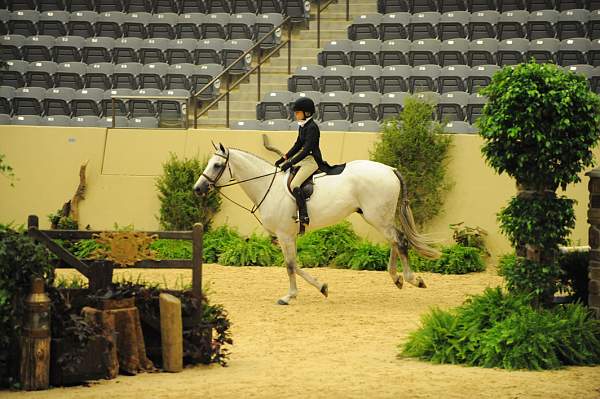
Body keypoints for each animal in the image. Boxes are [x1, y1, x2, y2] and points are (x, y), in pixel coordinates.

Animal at [195, 145, 438, 306]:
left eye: (217, 165)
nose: (198, 188)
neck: (267, 186)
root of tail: (389, 169)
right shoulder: (287, 236)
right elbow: (295, 264)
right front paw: (322, 287)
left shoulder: (284, 235)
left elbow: (290, 265)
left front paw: (289, 296)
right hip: (380, 218)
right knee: (395, 241)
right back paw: (397, 278)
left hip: (377, 217)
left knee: (400, 241)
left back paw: (413, 279)